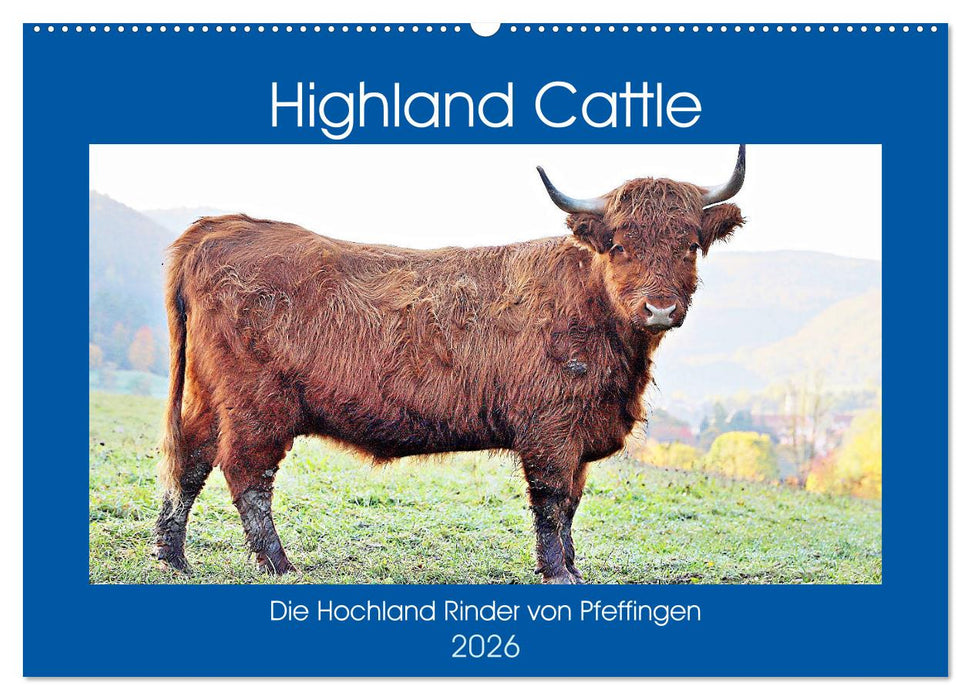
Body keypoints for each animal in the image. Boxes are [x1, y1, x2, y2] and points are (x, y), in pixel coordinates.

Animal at [153, 145, 746, 583]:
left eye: (690, 245)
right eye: (620, 245)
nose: (660, 308)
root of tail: (222, 226)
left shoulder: (577, 435)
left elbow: (572, 504)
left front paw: (574, 571)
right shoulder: (551, 430)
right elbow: (552, 503)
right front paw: (560, 575)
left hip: (210, 396)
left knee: (190, 460)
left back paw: (172, 555)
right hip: (257, 404)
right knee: (246, 473)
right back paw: (278, 564)